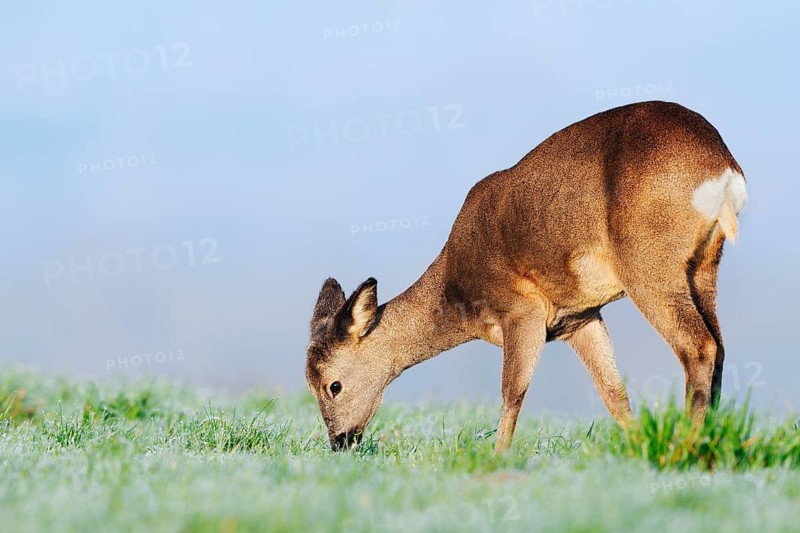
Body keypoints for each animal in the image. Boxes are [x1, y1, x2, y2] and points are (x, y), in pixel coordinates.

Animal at [306, 100, 747, 452]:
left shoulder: (522, 309)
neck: (456, 291)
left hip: (649, 264)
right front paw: (636, 443)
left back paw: (689, 444)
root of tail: (723, 167)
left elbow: (512, 391)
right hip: (703, 267)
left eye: (332, 385)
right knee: (721, 349)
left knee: (699, 346)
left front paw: (498, 456)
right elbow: (612, 391)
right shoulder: (579, 317)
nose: (340, 442)